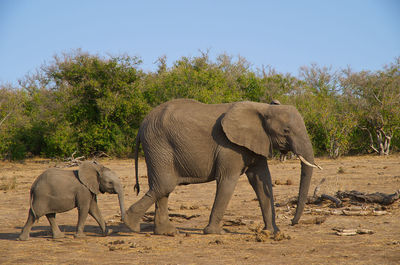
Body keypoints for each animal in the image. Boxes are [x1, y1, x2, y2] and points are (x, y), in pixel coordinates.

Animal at [123, 98, 320, 233]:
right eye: (286, 131)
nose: (292, 223)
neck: (262, 108)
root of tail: (141, 126)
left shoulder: (256, 143)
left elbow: (261, 180)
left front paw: (272, 232)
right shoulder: (229, 146)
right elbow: (227, 181)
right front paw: (215, 232)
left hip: (157, 148)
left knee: (162, 187)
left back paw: (167, 232)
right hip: (158, 145)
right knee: (164, 185)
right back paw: (131, 225)